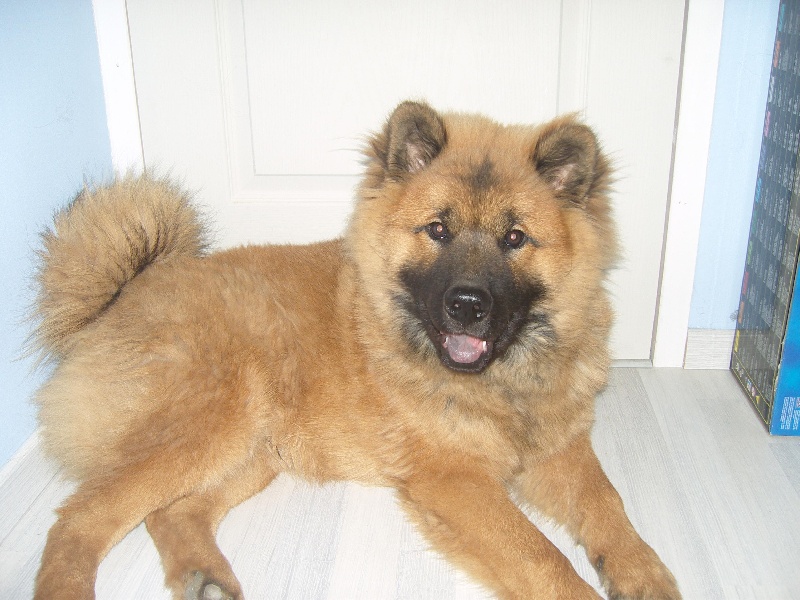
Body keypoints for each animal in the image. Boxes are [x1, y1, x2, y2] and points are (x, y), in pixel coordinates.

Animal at [31, 101, 680, 599]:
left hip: (253, 451)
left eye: (515, 238)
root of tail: (121, 297)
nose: (467, 304)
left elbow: (608, 505)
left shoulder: (560, 449)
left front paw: (644, 572)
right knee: (78, 521)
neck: (504, 380)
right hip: (210, 419)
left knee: (170, 512)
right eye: (438, 230)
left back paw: (205, 576)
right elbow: (542, 555)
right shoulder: (454, 480)